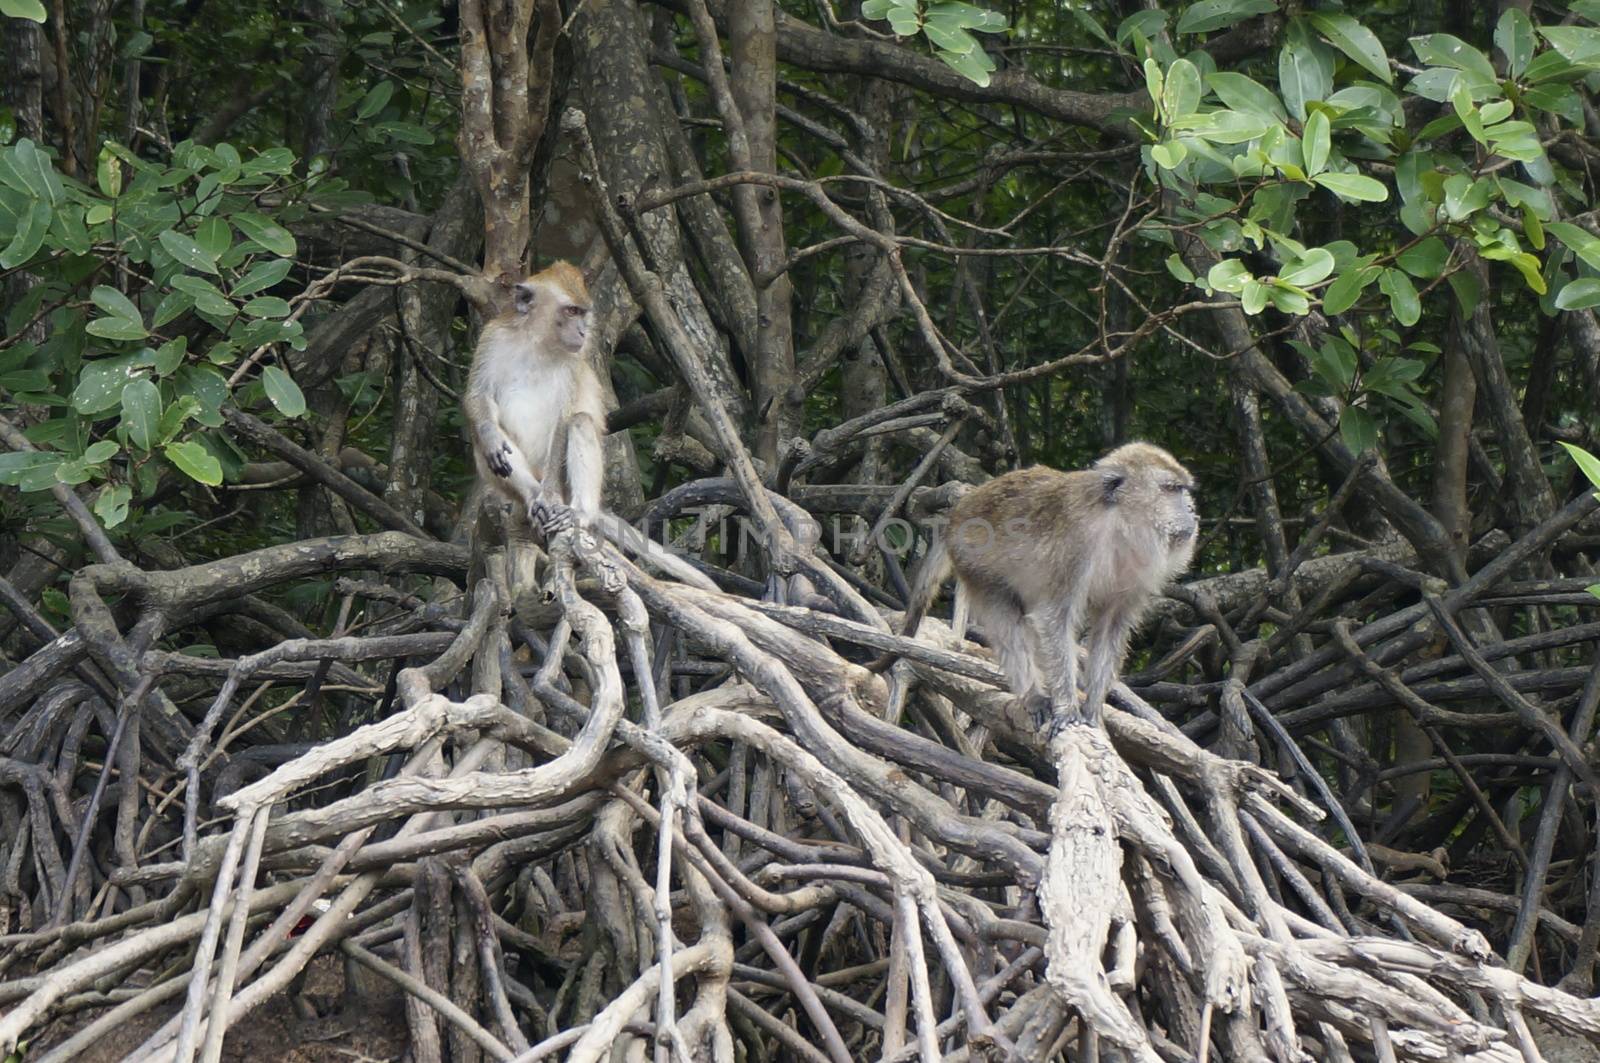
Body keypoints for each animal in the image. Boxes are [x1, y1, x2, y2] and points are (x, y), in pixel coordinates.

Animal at [467, 257, 611, 521]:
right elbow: (478, 394)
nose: (582, 332)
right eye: (571, 311)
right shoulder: (492, 337)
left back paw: (580, 513)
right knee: (479, 436)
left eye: (582, 312)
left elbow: (563, 419)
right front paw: (491, 437)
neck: (537, 342)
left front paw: (550, 496)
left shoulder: (574, 361)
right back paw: (532, 493)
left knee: (581, 421)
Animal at [883, 438, 1196, 730]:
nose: (1192, 511)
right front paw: (1068, 708)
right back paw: (1032, 695)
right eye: (1171, 489)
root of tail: (958, 512)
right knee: (1005, 618)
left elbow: (1110, 627)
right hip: (972, 560)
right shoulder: (1074, 548)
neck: (1116, 524)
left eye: (1182, 489)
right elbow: (1055, 620)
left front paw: (1093, 711)